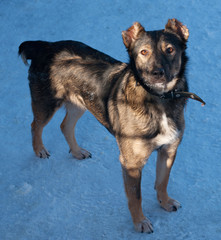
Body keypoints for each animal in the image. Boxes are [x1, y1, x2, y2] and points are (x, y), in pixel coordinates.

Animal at [18, 19, 205, 234]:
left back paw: (77, 152)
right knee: (35, 125)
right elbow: (135, 197)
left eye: (170, 50)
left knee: (65, 125)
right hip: (47, 103)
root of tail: (45, 45)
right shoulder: (131, 163)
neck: (159, 99)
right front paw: (140, 222)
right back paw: (39, 149)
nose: (157, 73)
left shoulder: (169, 149)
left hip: (81, 103)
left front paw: (165, 202)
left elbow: (162, 181)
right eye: (143, 52)